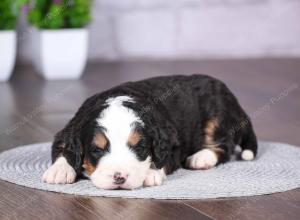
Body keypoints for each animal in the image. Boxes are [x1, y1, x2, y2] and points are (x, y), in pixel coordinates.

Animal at [42, 75, 258, 189]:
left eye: (139, 147)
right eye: (97, 150)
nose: (119, 177)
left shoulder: (172, 141)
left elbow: (162, 159)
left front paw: (151, 172)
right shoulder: (68, 130)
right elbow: (63, 149)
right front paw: (60, 171)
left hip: (217, 116)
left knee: (225, 146)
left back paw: (201, 158)